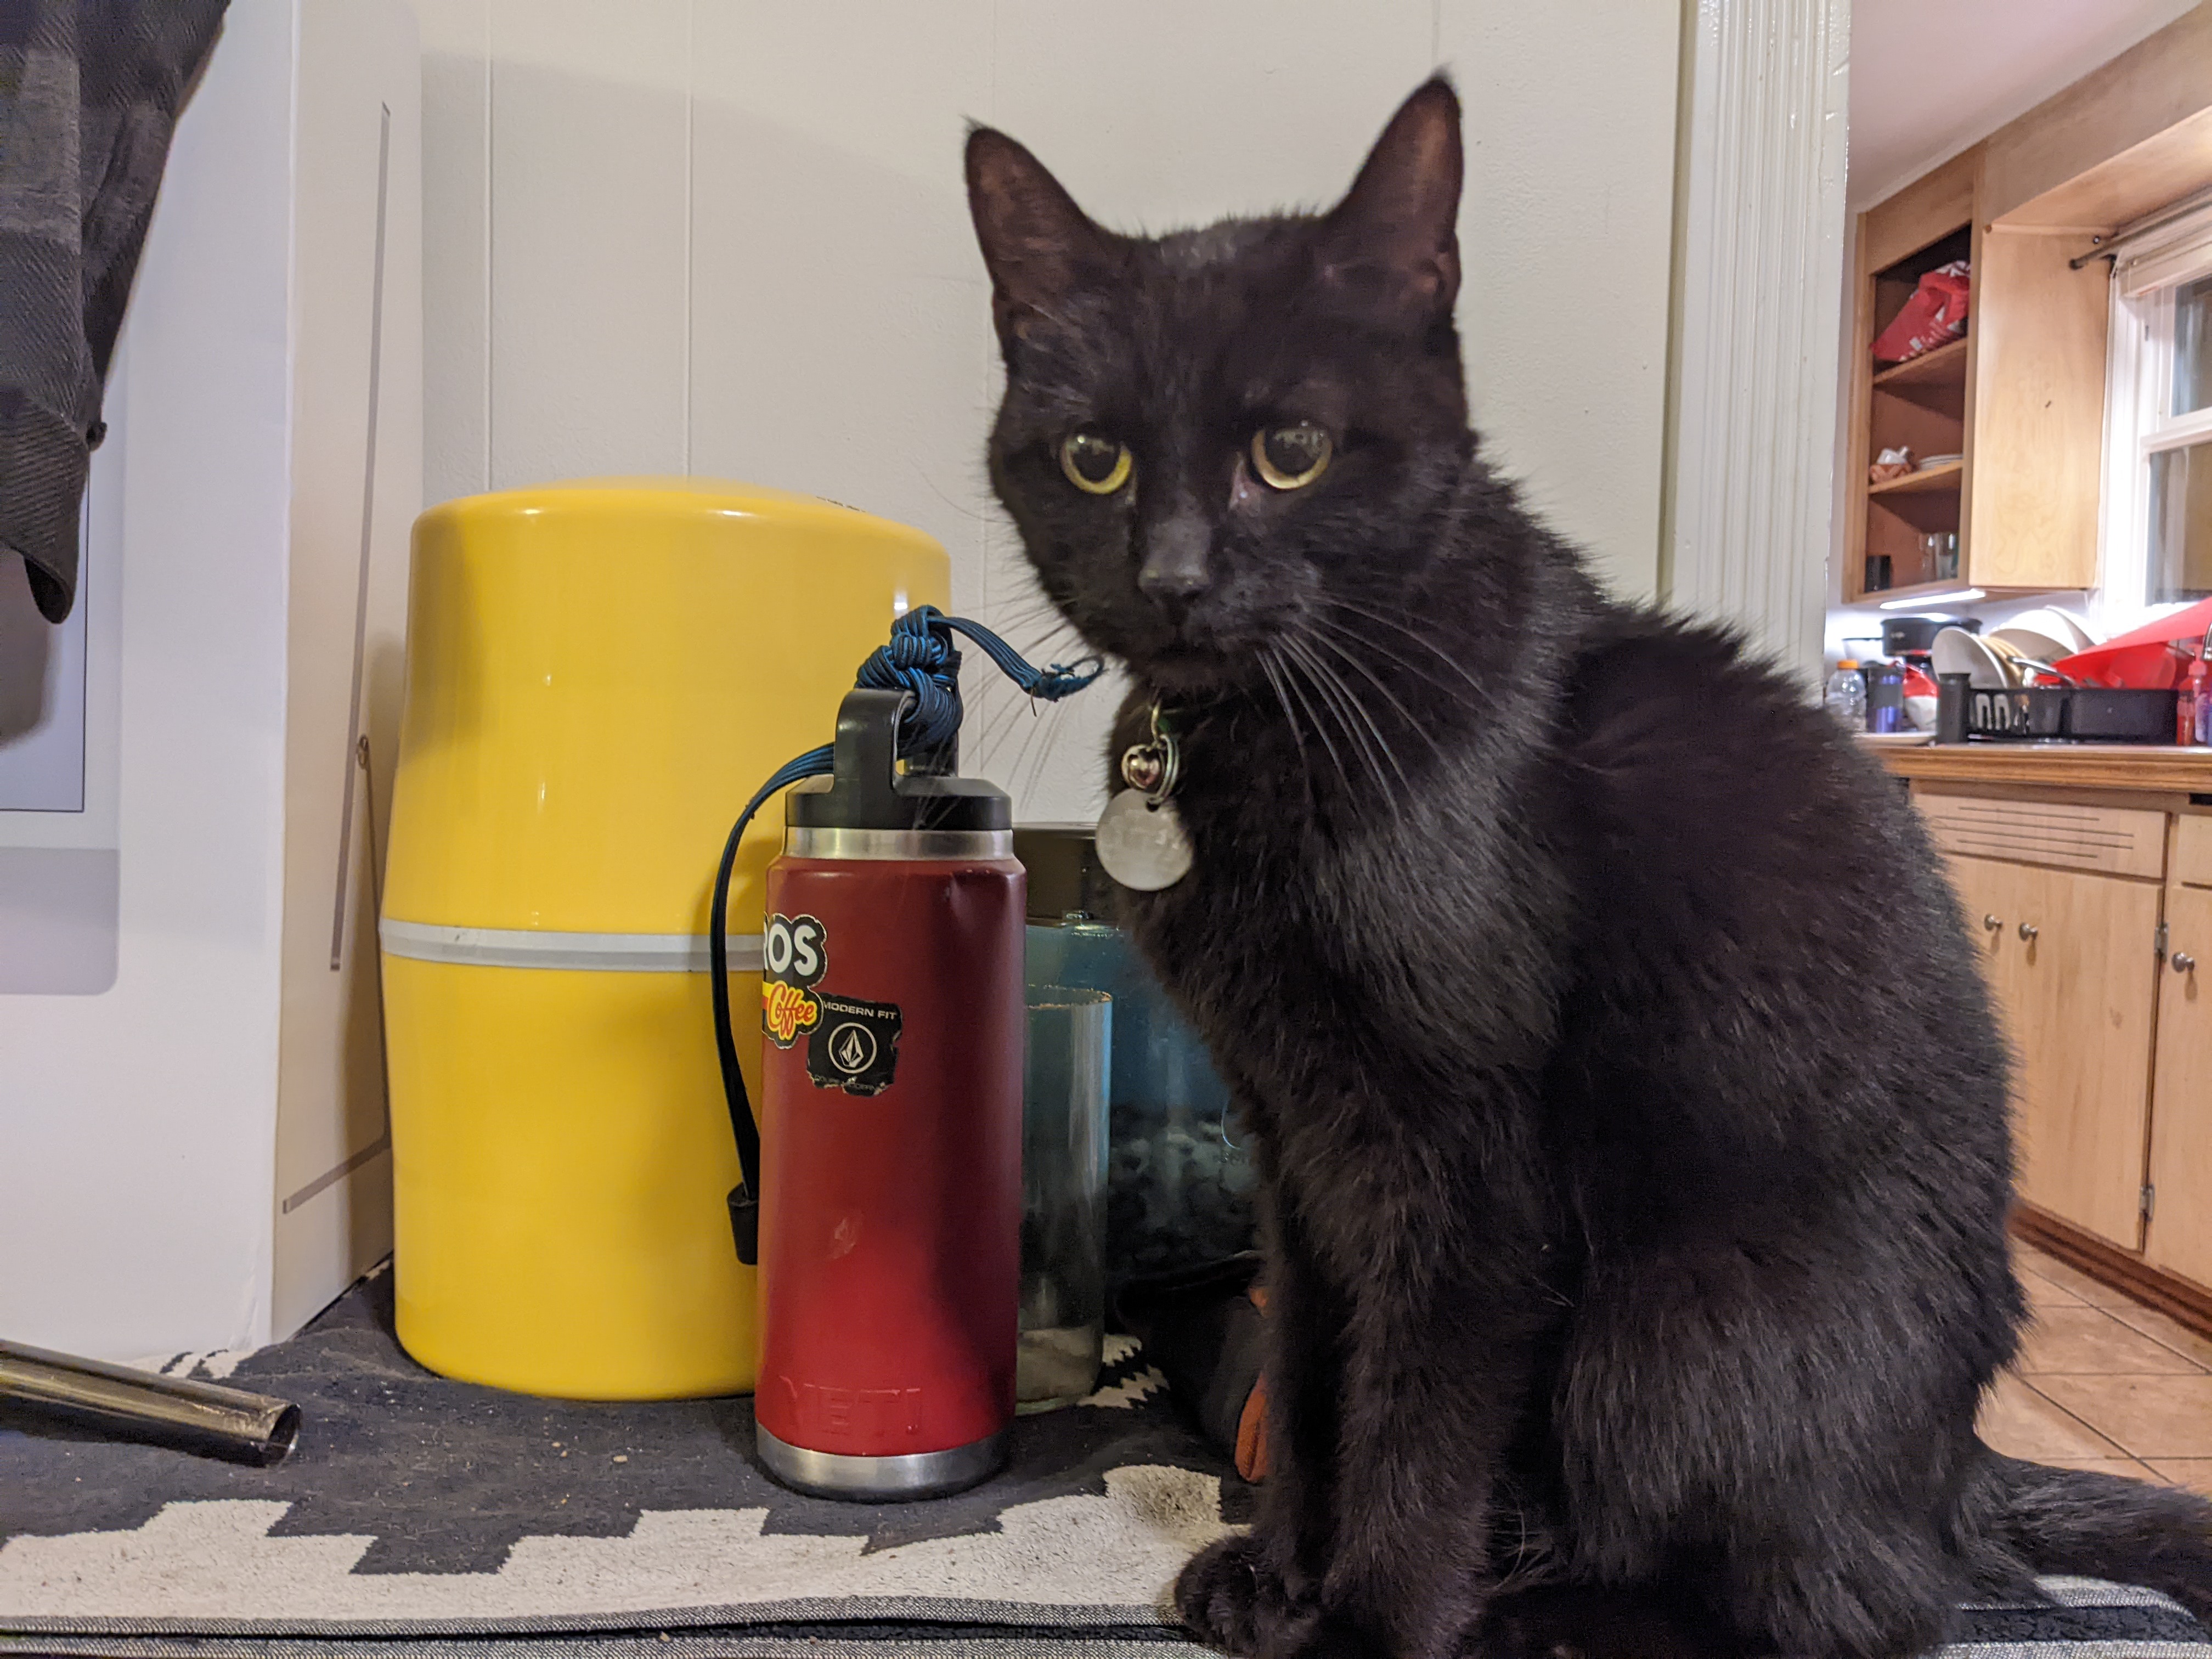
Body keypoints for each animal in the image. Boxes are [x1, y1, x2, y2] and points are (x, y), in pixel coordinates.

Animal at [965, 77, 2212, 1659]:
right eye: (1095, 459)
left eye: (1291, 450)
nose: (1175, 578)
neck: (1279, 725)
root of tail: (1957, 1472)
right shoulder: (1295, 1139)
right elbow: (1314, 1379)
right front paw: (1282, 1574)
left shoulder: (1466, 1167)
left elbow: (1417, 1423)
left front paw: (1367, 1625)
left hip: (1672, 1331)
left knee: (1847, 1604)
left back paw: (1533, 1615)